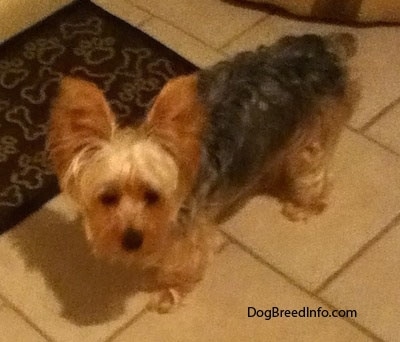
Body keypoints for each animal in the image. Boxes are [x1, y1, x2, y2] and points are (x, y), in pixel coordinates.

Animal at [47, 32, 360, 312]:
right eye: (108, 198)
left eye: (153, 196)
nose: (132, 241)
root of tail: (324, 46)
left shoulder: (188, 233)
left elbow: (183, 264)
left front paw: (167, 292)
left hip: (314, 136)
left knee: (315, 172)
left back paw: (304, 205)